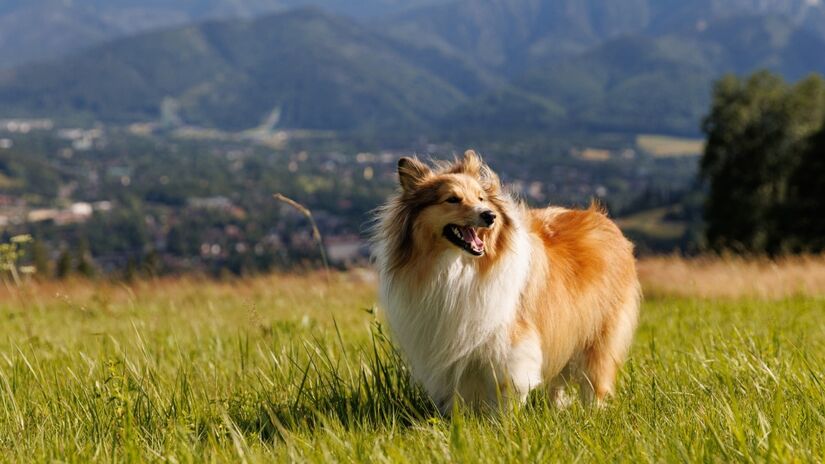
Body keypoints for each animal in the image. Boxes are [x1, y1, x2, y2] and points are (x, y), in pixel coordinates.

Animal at [370, 150, 640, 414]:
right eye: (452, 199)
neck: (458, 266)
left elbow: (508, 387)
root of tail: (603, 218)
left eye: (481, 198)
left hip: (598, 333)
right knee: (558, 382)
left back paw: (592, 413)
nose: (489, 216)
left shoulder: (510, 343)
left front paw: (505, 421)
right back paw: (555, 409)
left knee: (594, 381)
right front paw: (461, 420)